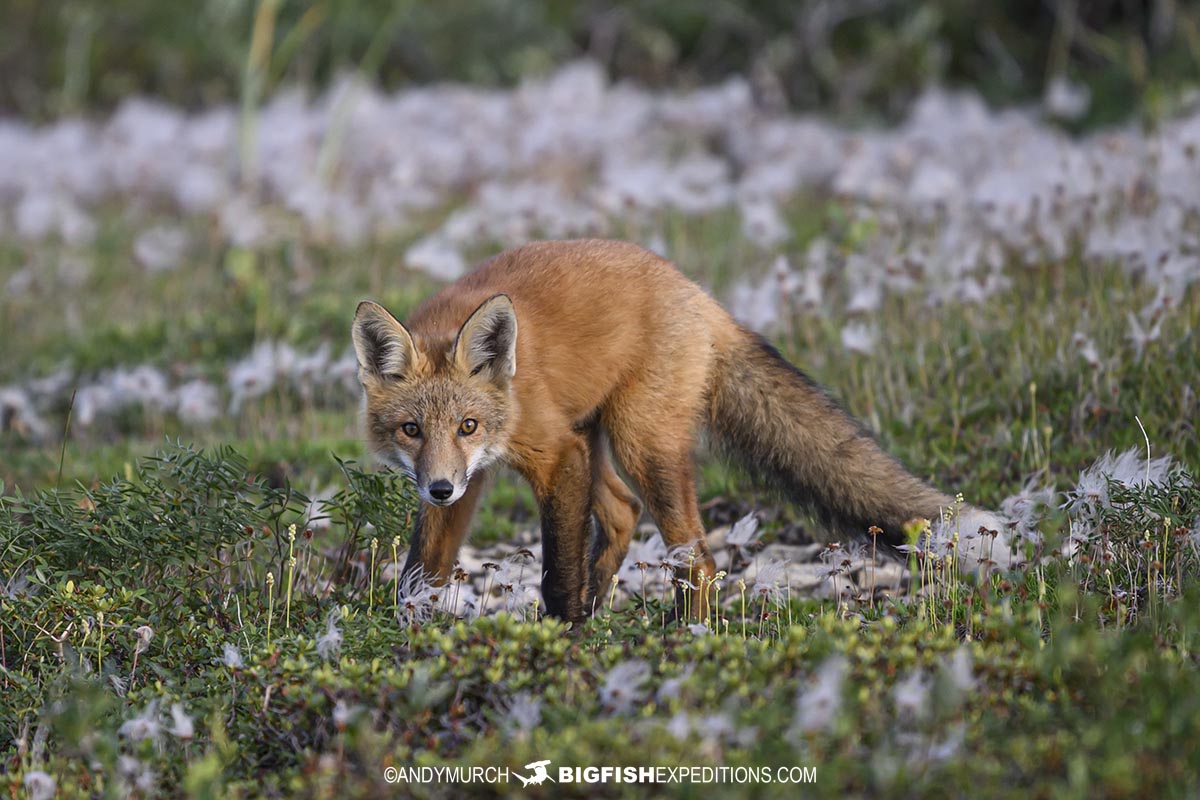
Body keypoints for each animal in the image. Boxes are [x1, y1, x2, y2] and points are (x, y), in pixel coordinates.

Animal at [352, 239, 1015, 623]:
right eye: (411, 429)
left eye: (468, 425)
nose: (439, 488)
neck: (509, 400)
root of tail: (695, 292)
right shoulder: (478, 479)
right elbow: (421, 568)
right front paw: (412, 631)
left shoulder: (553, 454)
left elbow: (556, 571)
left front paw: (558, 634)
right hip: (601, 439)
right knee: (623, 513)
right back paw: (603, 608)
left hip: (638, 444)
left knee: (695, 554)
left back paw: (683, 630)